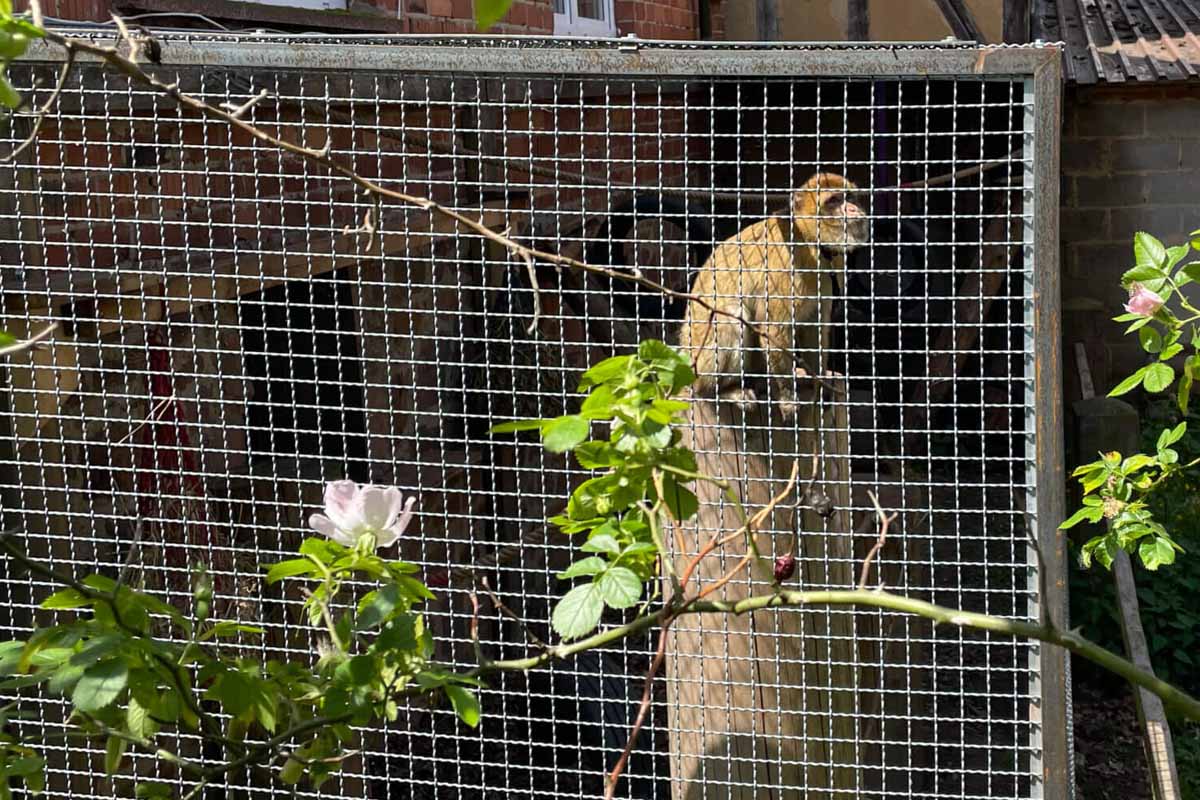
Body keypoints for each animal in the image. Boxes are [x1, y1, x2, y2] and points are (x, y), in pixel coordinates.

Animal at [681, 170, 868, 419]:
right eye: (834, 201)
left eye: (849, 197)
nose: (853, 209)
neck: (808, 239)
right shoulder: (788, 264)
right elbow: (774, 328)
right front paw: (788, 396)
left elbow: (815, 324)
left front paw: (820, 384)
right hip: (699, 361)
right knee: (731, 317)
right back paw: (725, 389)